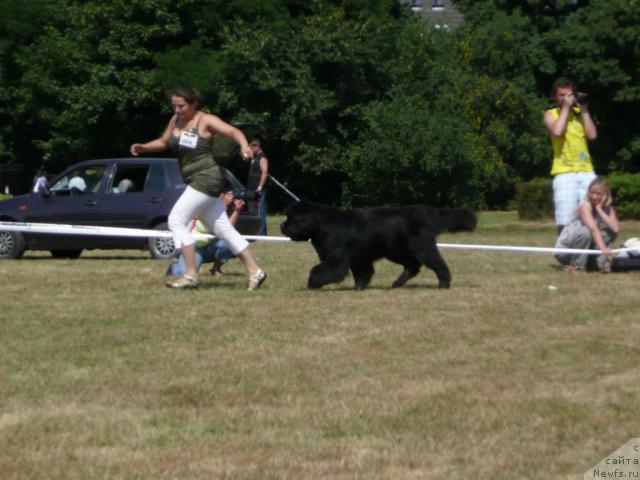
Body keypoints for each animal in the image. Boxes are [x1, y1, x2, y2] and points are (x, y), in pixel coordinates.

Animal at [280, 202, 476, 290]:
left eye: (292, 218)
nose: (282, 226)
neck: (322, 225)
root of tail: (426, 212)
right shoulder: (359, 259)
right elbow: (362, 274)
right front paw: (359, 288)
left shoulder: (336, 260)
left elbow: (318, 270)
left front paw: (312, 283)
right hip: (397, 250)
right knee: (413, 266)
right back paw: (397, 283)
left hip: (422, 248)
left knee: (438, 264)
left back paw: (444, 283)